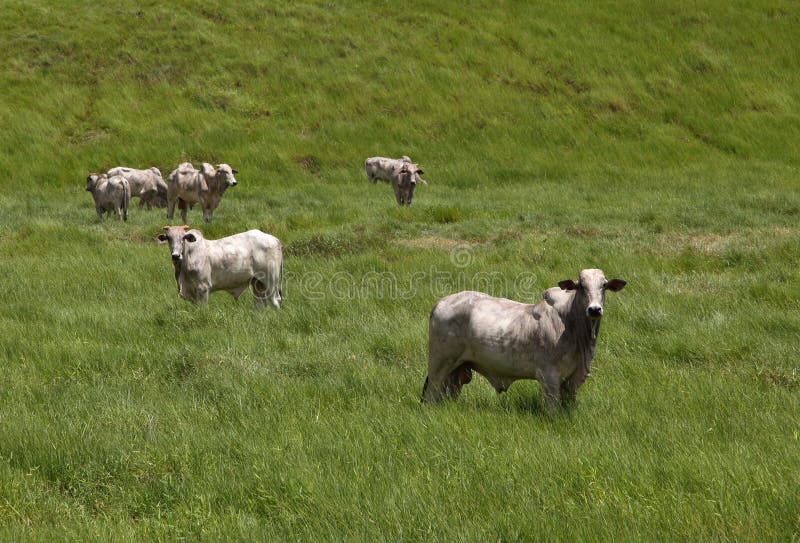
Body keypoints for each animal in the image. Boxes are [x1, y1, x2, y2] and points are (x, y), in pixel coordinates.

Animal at [422, 270, 628, 410]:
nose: (594, 309)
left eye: (604, 285)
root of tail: (439, 303)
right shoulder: (549, 378)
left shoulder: (572, 381)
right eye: (581, 286)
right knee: (431, 394)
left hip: (456, 372)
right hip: (439, 366)